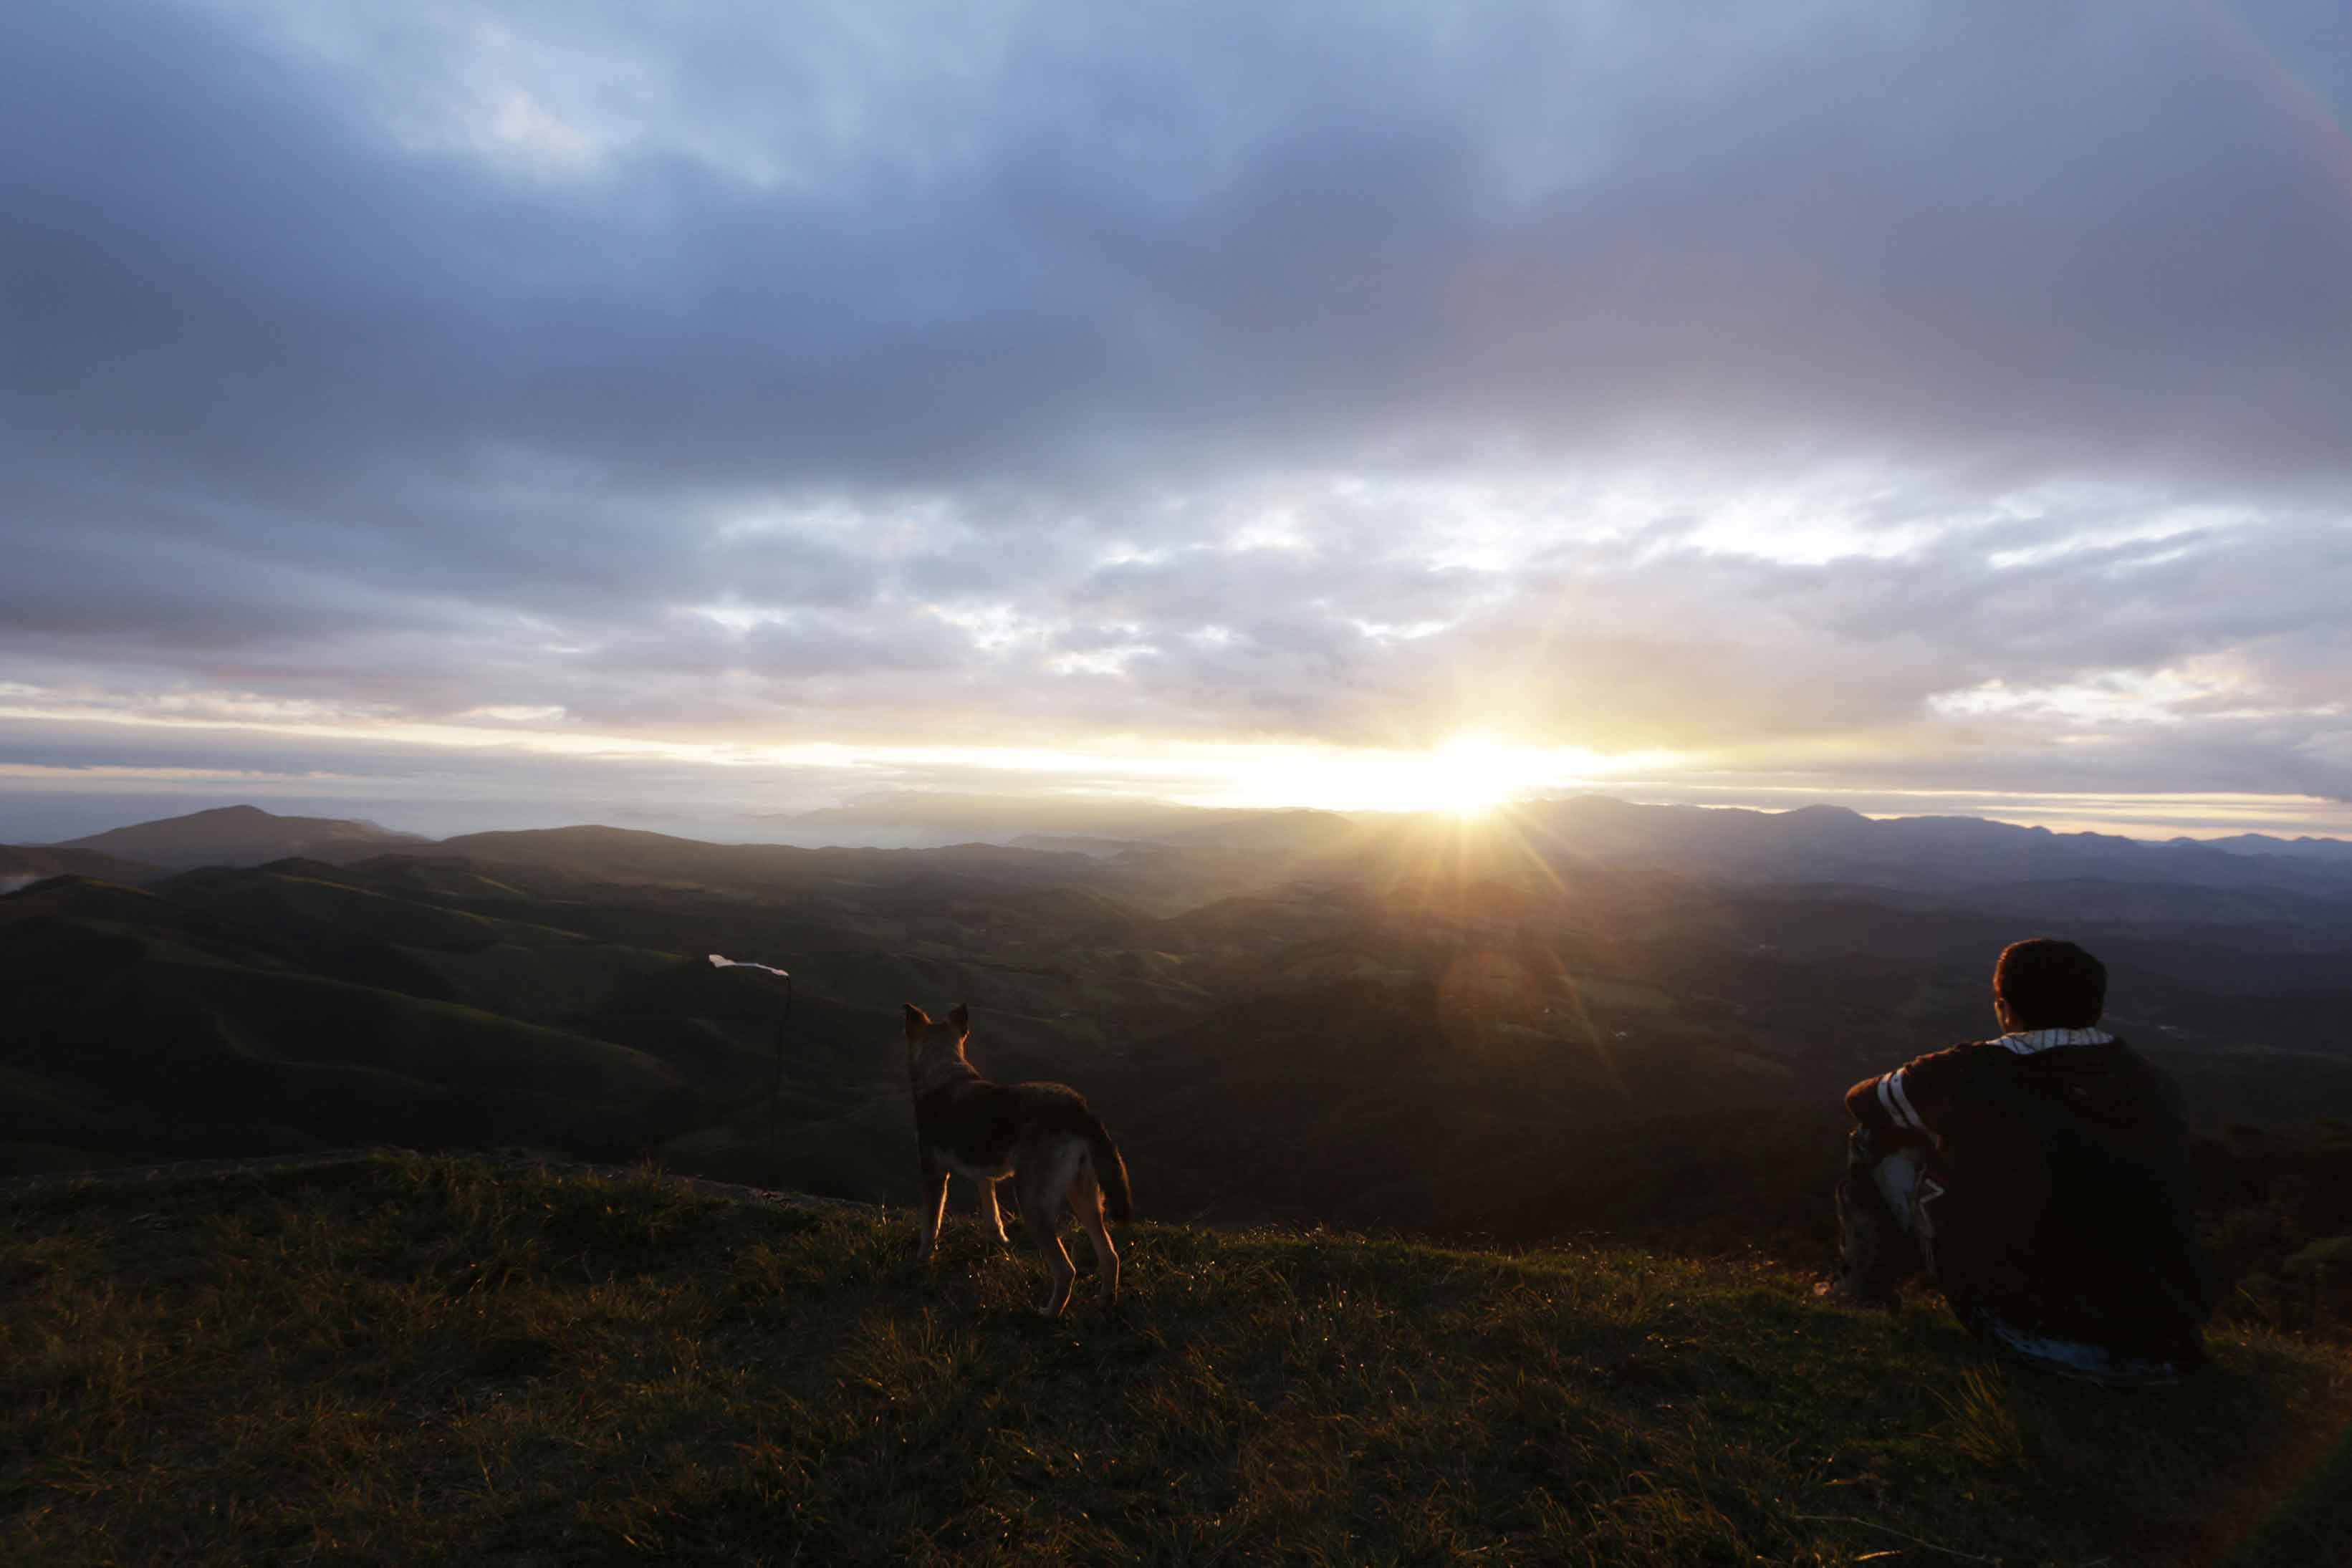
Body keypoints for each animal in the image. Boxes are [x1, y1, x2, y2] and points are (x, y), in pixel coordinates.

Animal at [903, 1001, 1133, 1316]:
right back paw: (1105, 1302)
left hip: (1032, 1202)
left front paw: (922, 1262)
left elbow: (930, 1226)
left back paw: (1048, 1314)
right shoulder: (983, 1175)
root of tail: (1079, 1109)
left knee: (1067, 1270)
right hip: (1084, 1196)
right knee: (1110, 1255)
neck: (943, 1069)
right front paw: (999, 1242)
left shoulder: (934, 1175)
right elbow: (992, 1215)